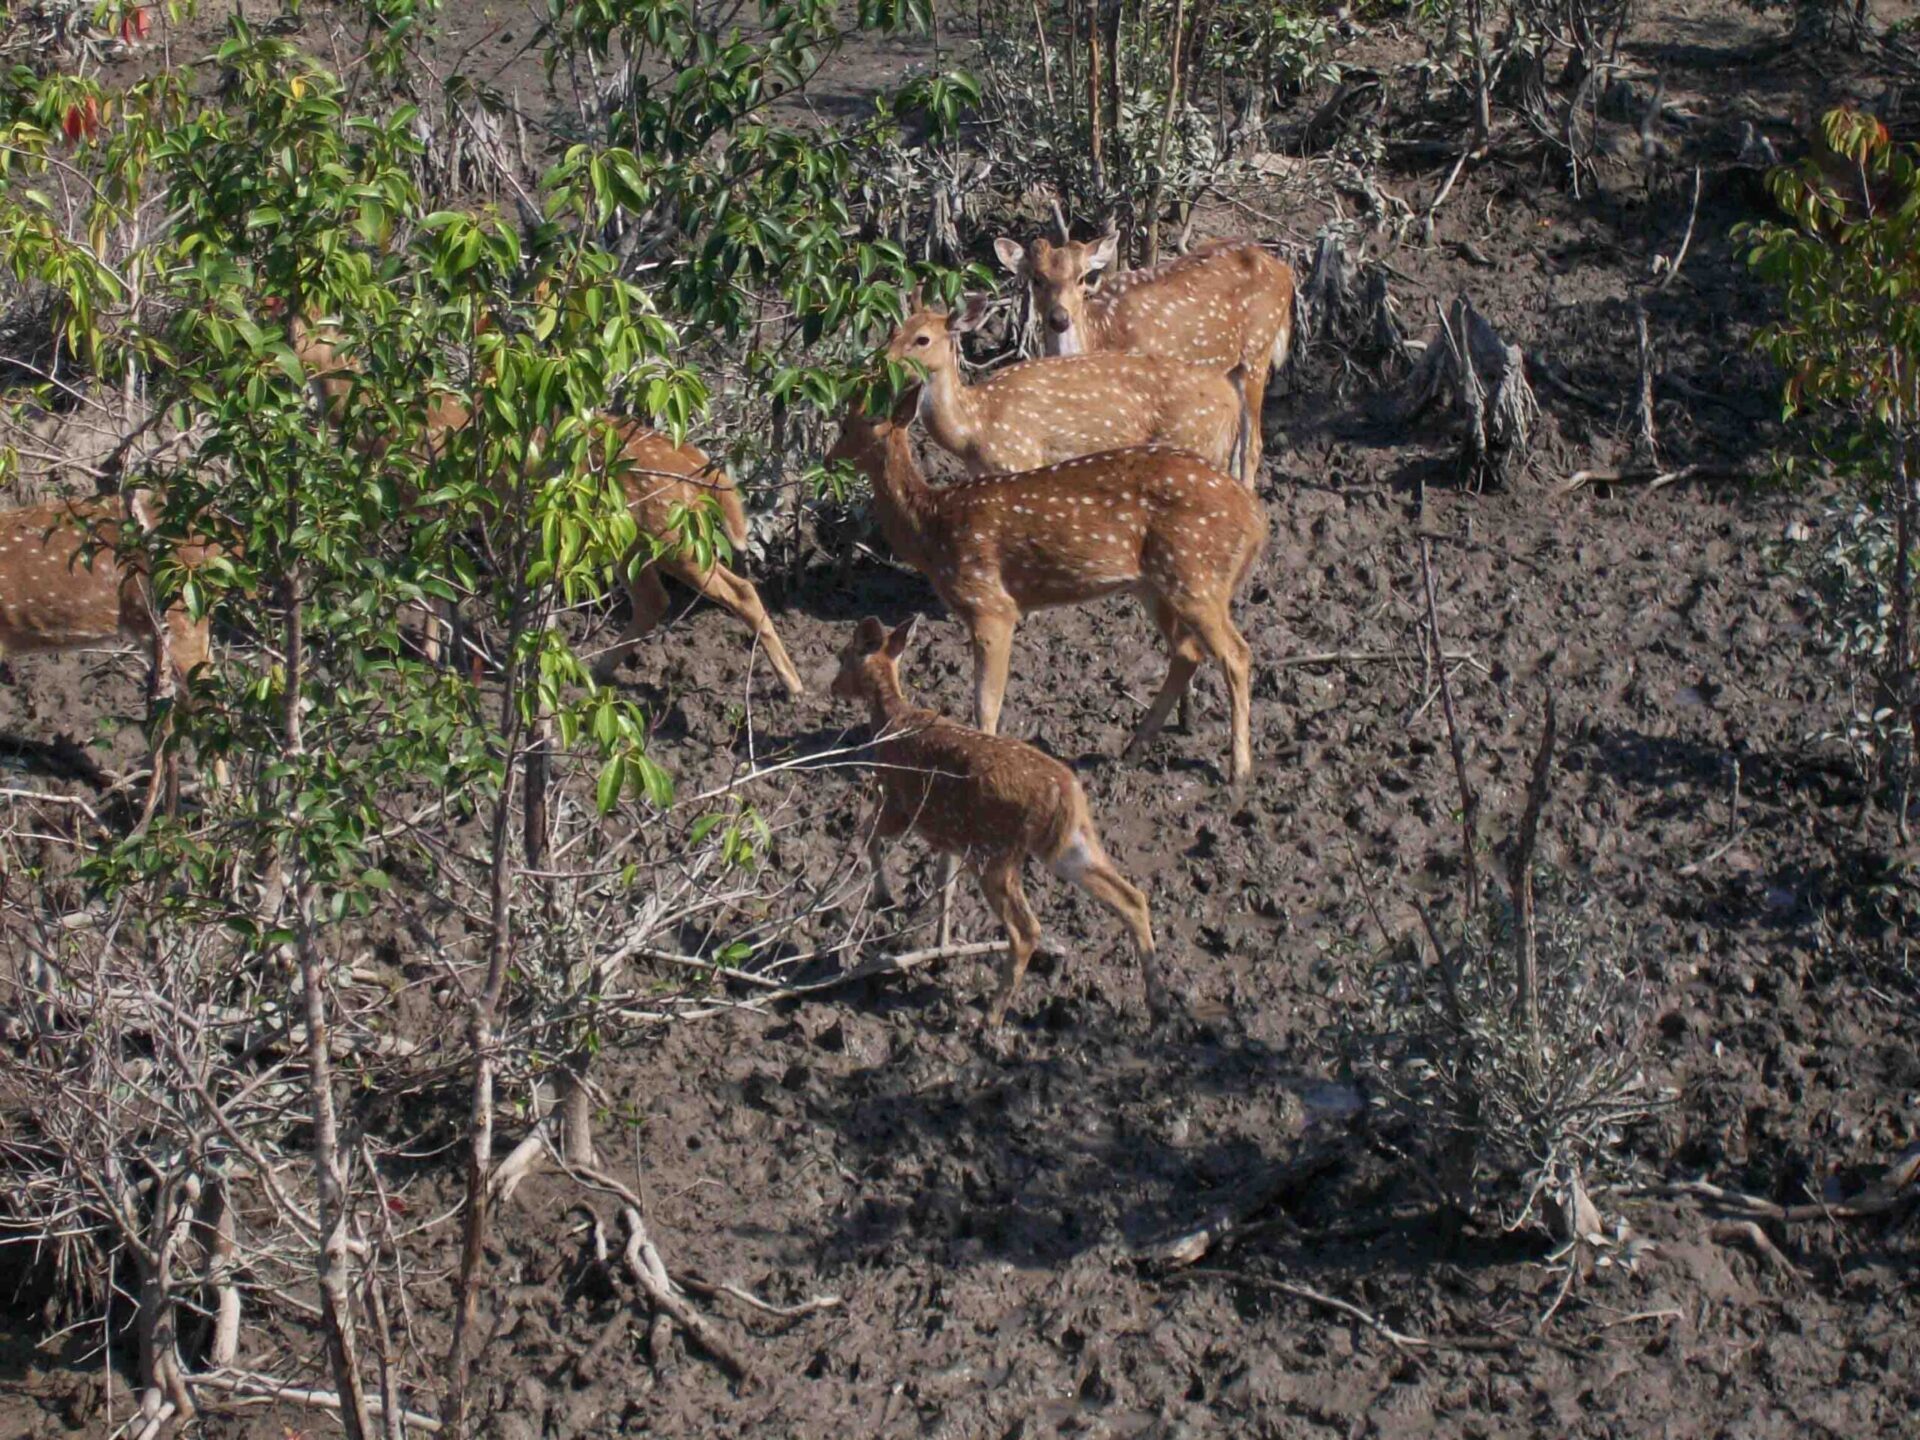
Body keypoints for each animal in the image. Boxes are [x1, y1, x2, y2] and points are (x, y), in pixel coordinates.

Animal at [282, 311, 804, 695]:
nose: (277, 361)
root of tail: (700, 466)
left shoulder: (429, 499)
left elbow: (428, 581)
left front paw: (430, 655)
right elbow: (441, 584)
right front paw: (443, 654)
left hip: (670, 531)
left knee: (739, 591)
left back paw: (793, 685)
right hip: (630, 538)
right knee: (653, 601)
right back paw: (595, 671)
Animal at [826, 395, 1265, 784]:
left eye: (847, 425)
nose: (828, 460)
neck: (930, 531)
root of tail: (1256, 519)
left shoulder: (991, 604)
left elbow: (985, 702)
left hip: (1195, 573)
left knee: (1236, 654)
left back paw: (1239, 772)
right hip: (1155, 585)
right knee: (1187, 651)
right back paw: (1136, 748)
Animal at [830, 614, 1160, 1026]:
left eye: (844, 655)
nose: (832, 687)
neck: (891, 721)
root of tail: (1067, 796)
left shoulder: (899, 803)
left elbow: (867, 832)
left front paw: (883, 896)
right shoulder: (948, 835)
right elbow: (944, 883)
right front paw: (940, 947)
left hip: (995, 852)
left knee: (1027, 930)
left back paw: (992, 1015)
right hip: (1067, 845)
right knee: (1132, 898)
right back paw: (1159, 1003)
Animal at [886, 294, 1250, 486]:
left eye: (923, 339)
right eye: (894, 330)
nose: (884, 360)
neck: (973, 429)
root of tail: (1231, 398)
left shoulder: (1020, 458)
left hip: (1192, 439)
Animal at [993, 231, 1295, 480]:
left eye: (1081, 278)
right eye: (1037, 279)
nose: (1059, 318)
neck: (1099, 337)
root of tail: (1285, 270)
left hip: (1258, 350)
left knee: (1253, 445)